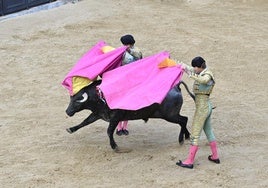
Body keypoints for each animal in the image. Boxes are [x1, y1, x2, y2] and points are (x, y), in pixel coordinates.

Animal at [65, 79, 195, 151]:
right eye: (70, 100)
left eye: (76, 102)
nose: (67, 111)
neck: (101, 96)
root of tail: (176, 87)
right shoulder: (98, 114)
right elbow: (85, 122)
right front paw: (71, 129)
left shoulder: (115, 118)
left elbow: (109, 131)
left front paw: (115, 147)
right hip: (172, 115)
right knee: (184, 120)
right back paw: (187, 136)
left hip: (170, 115)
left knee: (183, 120)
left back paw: (181, 139)